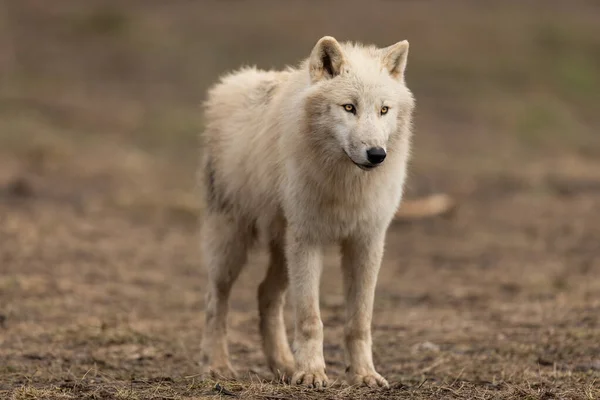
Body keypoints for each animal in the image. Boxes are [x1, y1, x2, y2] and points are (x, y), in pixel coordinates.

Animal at [199, 36, 414, 388]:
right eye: (349, 107)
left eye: (384, 109)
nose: (377, 154)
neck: (346, 184)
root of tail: (232, 82)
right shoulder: (308, 240)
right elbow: (311, 319)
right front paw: (312, 372)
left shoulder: (367, 242)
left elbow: (360, 321)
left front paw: (364, 374)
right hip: (233, 245)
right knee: (215, 301)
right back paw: (217, 366)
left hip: (283, 250)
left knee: (265, 294)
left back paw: (284, 365)